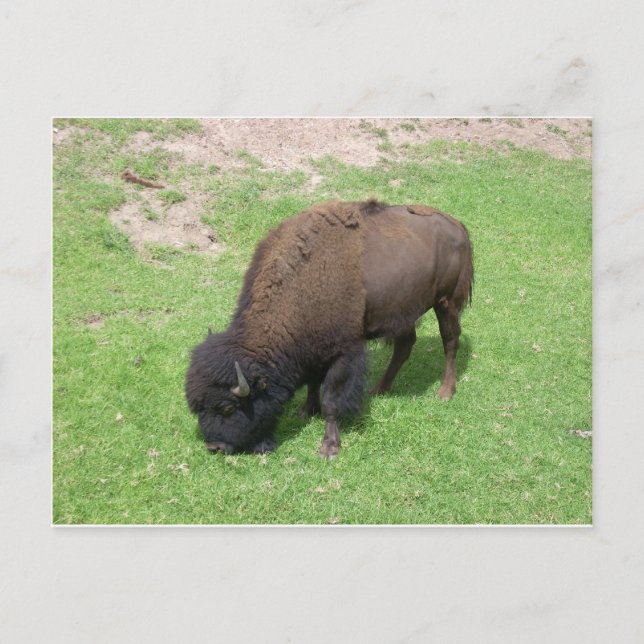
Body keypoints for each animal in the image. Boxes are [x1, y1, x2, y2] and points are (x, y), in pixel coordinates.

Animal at [185, 200, 473, 458]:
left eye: (227, 408)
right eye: (197, 407)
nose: (214, 446)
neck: (301, 284)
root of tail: (456, 225)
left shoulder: (344, 354)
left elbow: (331, 400)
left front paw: (329, 447)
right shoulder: (312, 348)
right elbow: (313, 384)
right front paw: (305, 410)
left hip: (446, 303)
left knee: (450, 341)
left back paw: (445, 391)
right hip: (403, 311)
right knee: (405, 346)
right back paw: (379, 389)